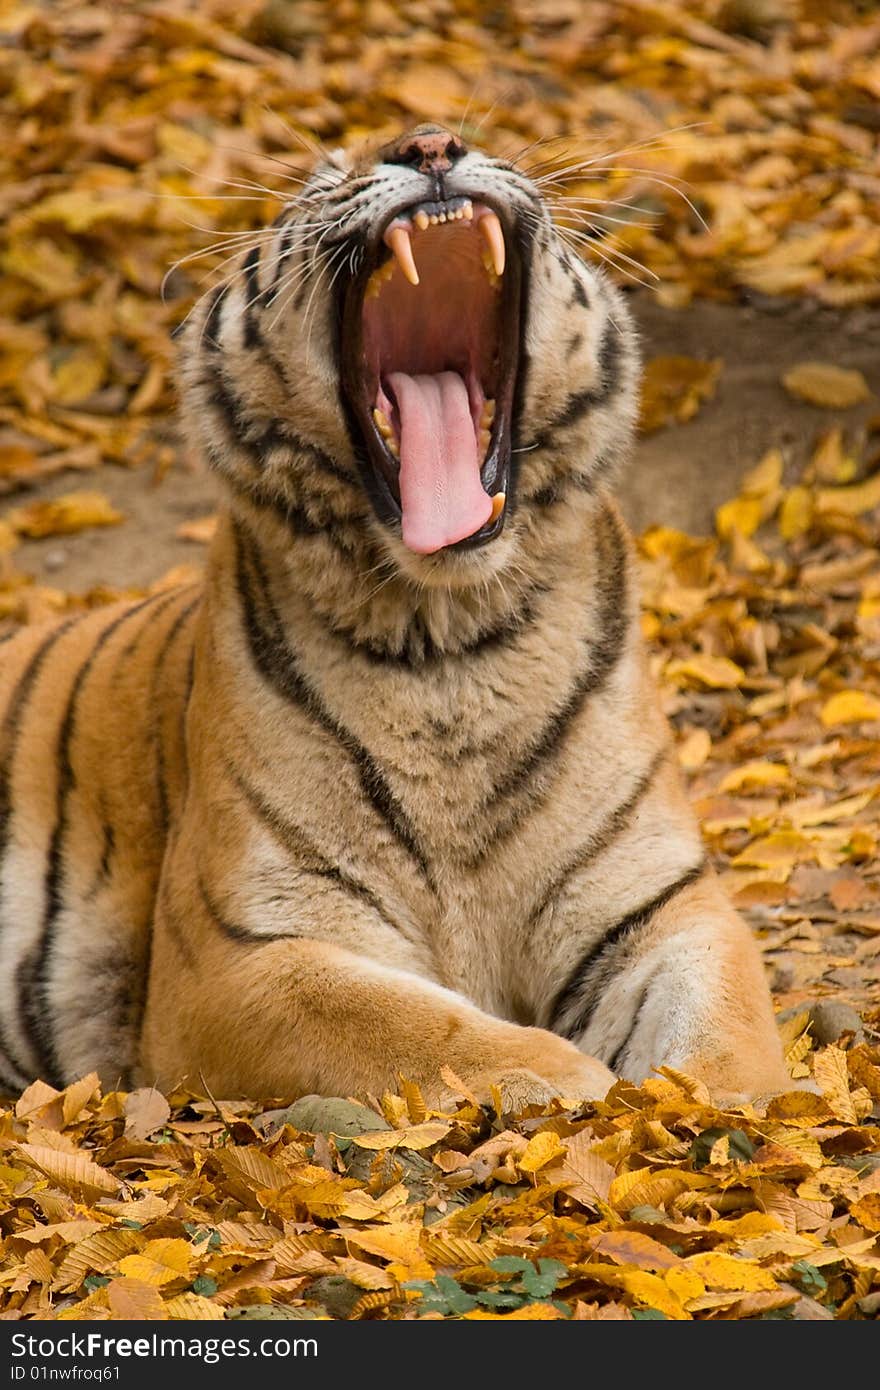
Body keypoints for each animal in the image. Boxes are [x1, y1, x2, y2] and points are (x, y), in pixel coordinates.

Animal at [0, 127, 784, 1106]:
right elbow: (412, 1028)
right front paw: (579, 1089)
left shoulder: (661, 901)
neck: (452, 644)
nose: (430, 143)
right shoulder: (238, 955)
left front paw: (723, 1112)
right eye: (322, 178)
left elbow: (728, 1025)